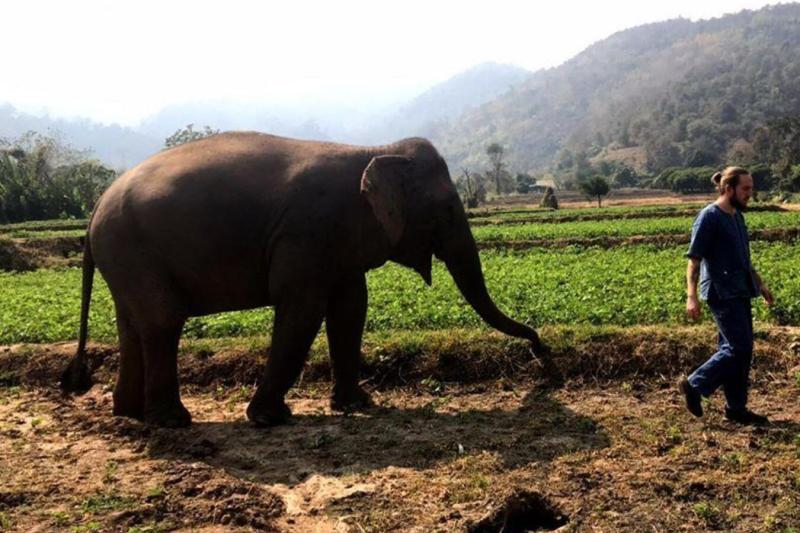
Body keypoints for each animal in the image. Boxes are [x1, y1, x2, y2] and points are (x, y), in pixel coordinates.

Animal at [60, 132, 546, 427]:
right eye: (446, 210)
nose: (542, 352)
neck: (371, 150)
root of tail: (94, 209)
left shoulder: (340, 239)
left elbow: (351, 307)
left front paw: (357, 405)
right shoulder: (307, 232)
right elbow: (303, 308)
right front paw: (269, 417)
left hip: (124, 259)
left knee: (132, 324)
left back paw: (129, 413)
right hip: (133, 250)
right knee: (163, 321)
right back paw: (174, 420)